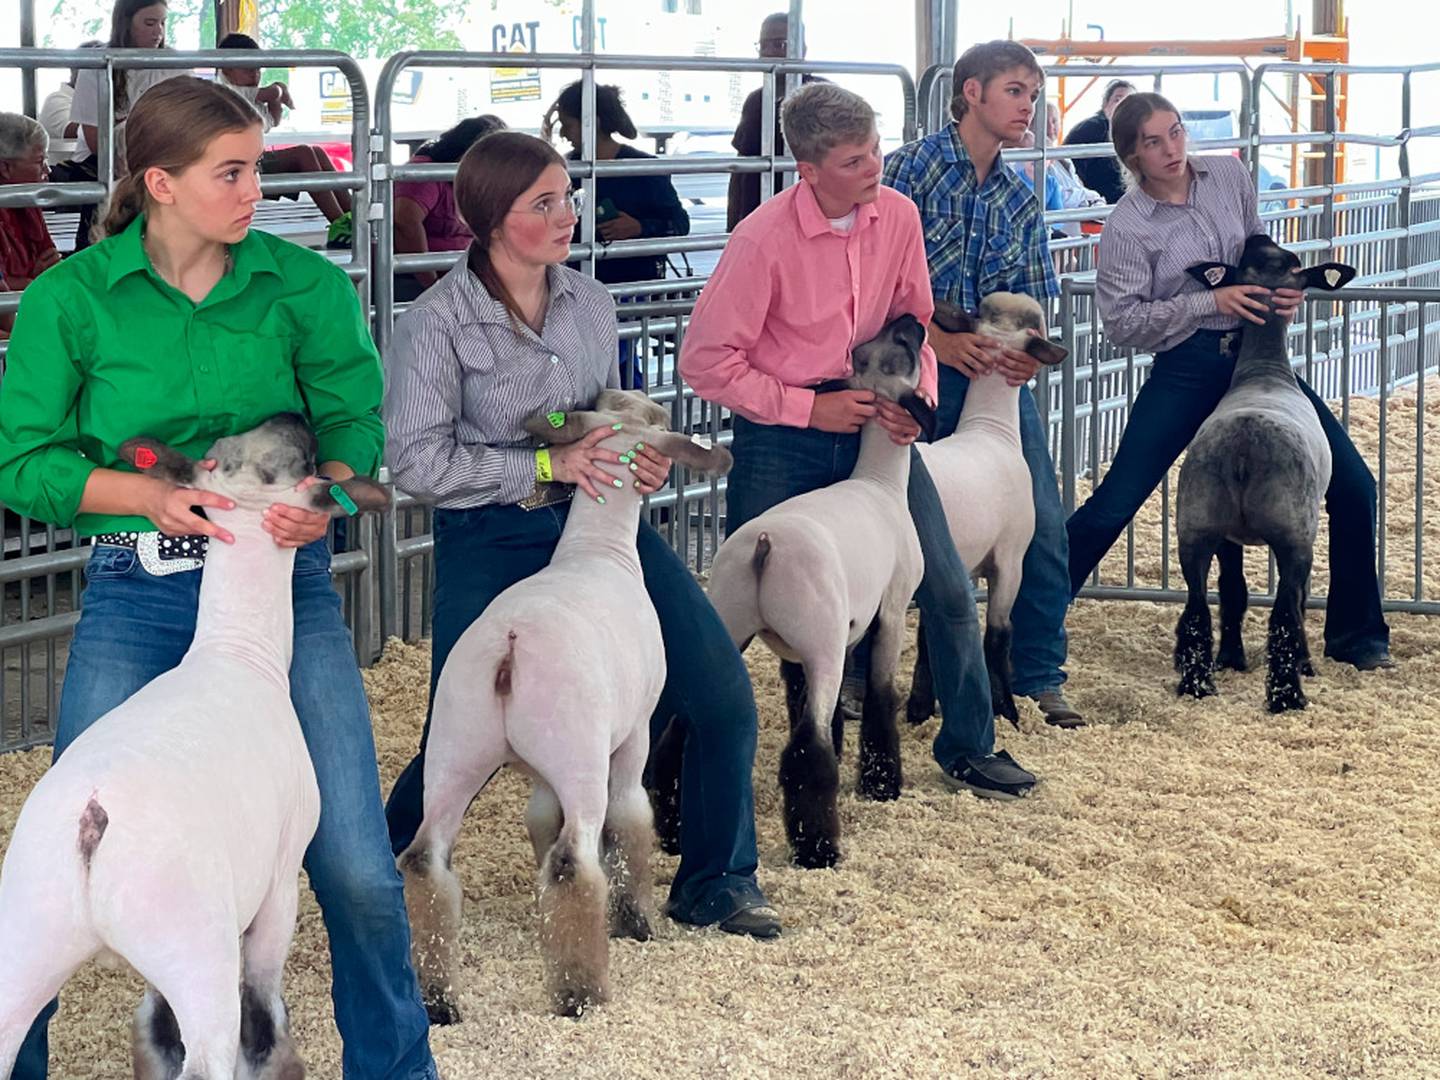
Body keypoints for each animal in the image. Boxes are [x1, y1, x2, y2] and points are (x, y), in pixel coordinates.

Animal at [0, 414, 388, 1080]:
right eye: (295, 460)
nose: (294, 416)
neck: (237, 650)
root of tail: (91, 824)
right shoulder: (280, 882)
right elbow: (262, 1013)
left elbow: (156, 1030)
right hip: (195, 944)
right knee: (211, 1051)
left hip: (28, 932)